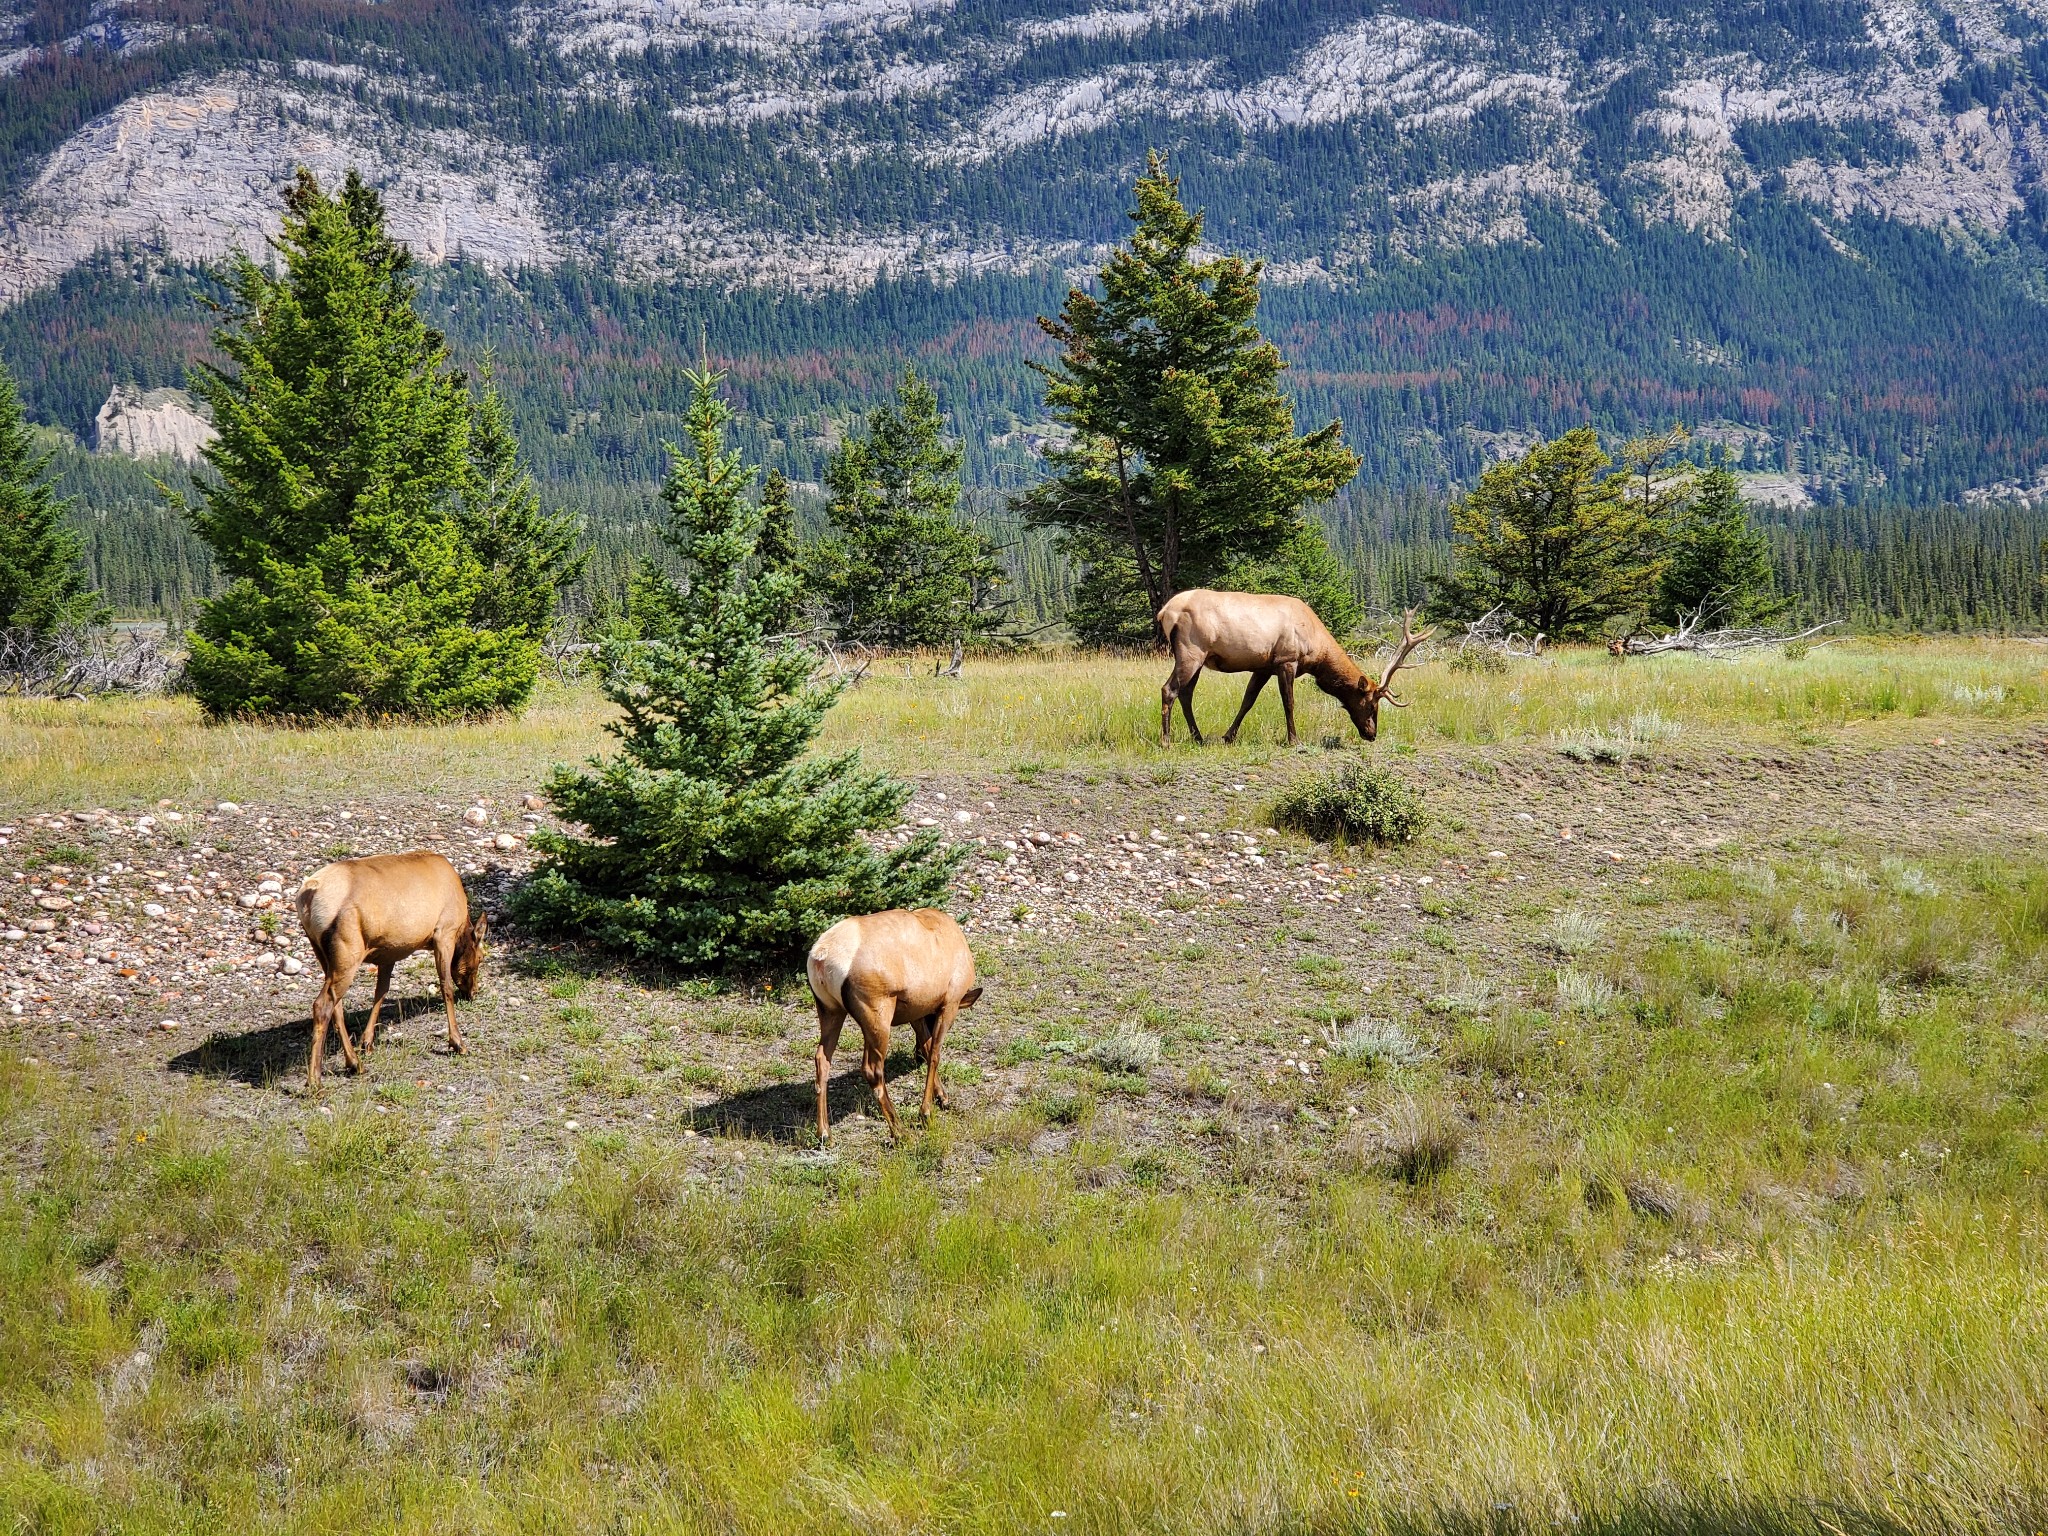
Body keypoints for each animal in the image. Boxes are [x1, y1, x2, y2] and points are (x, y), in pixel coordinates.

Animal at [292, 856, 483, 1097]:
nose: (473, 992)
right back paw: (315, 1081)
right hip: (348, 950)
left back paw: (354, 1063)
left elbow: (381, 993)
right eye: (481, 957)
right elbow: (445, 986)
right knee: (322, 1004)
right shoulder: (443, 932)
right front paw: (457, 1043)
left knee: (336, 1006)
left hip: (323, 954)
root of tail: (308, 894)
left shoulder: (389, 953)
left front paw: (367, 1042)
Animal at [806, 913, 983, 1146]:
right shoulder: (950, 1001)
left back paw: (824, 1132)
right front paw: (927, 1111)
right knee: (872, 1068)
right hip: (877, 1009)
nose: (915, 1058)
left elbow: (927, 1046)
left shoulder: (916, 1010)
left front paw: (941, 1094)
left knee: (822, 1059)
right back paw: (900, 1132)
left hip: (829, 1009)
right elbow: (935, 1053)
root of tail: (820, 958)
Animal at [1163, 593, 1433, 749]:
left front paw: (1229, 736)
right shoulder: (1287, 660)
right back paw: (1166, 741)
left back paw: (1198, 737)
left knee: (1186, 694)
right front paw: (1294, 740)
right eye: (1371, 704)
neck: (1317, 651)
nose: (1371, 734)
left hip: (1199, 659)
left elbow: (1247, 701)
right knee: (1169, 689)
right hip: (1191, 650)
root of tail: (1165, 612)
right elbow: (1289, 702)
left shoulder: (1263, 666)